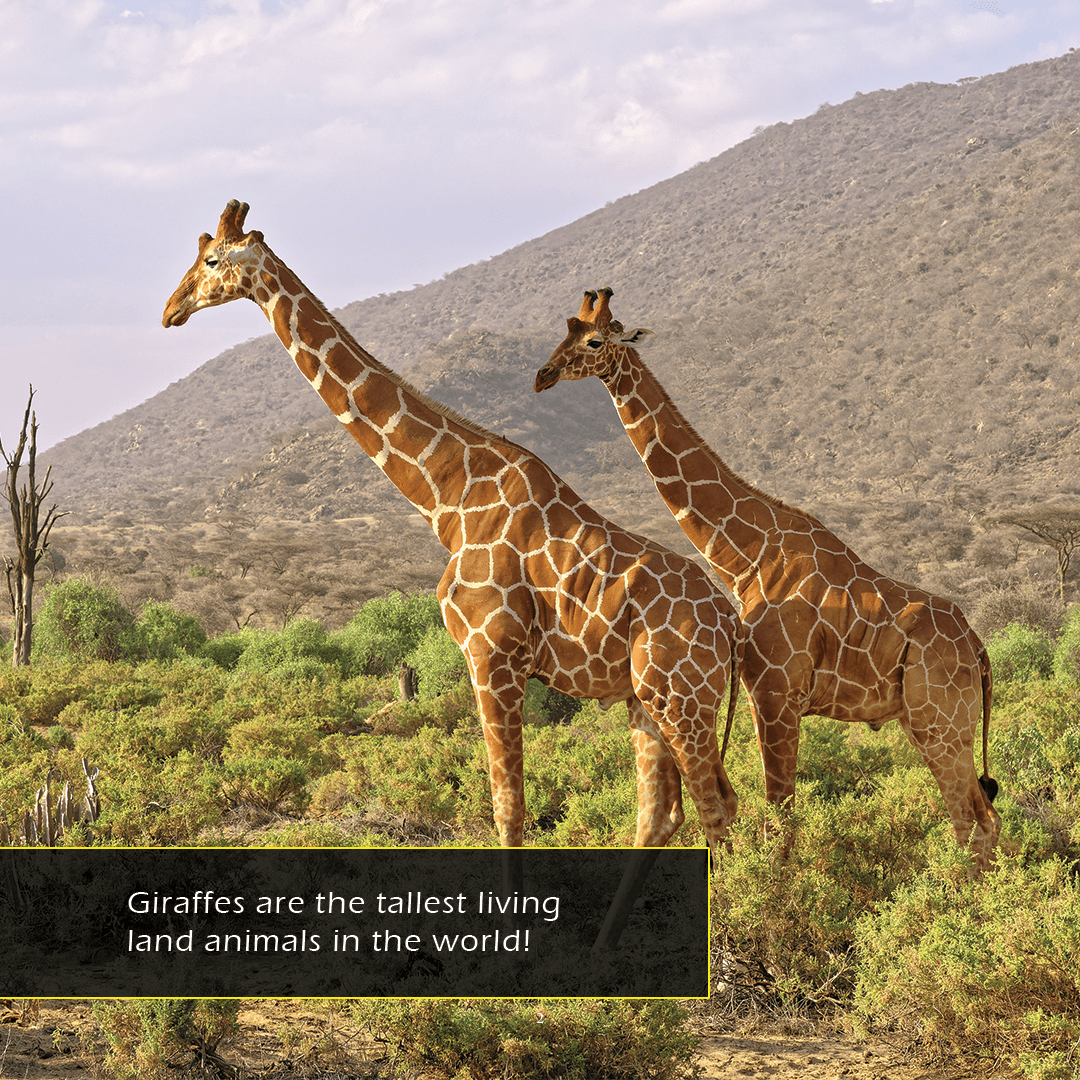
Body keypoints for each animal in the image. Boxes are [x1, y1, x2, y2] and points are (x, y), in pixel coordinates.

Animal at [162, 204, 743, 917]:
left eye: (211, 261)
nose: (170, 309)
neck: (447, 497)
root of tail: (732, 625)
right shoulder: (498, 662)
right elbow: (513, 806)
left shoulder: (492, 656)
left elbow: (507, 809)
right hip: (646, 698)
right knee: (665, 813)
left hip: (683, 695)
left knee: (716, 808)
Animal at [535, 288, 1000, 871]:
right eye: (564, 330)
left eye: (595, 340)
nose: (543, 375)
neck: (749, 555)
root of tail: (979, 649)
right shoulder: (768, 692)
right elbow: (779, 814)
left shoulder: (776, 690)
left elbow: (780, 820)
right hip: (929, 722)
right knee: (983, 818)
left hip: (941, 720)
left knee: (972, 821)